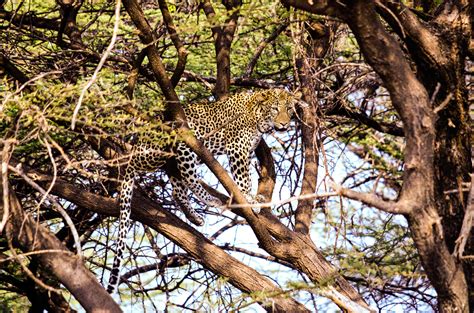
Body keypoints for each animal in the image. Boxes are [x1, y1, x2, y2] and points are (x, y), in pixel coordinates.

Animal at [106, 88, 302, 292]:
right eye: (275, 109)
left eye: (289, 109)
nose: (284, 123)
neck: (258, 117)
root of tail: (141, 138)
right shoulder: (237, 149)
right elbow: (243, 180)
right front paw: (250, 200)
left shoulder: (247, 152)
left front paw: (254, 198)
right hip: (177, 147)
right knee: (171, 173)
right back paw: (210, 200)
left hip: (174, 160)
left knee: (178, 189)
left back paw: (194, 217)